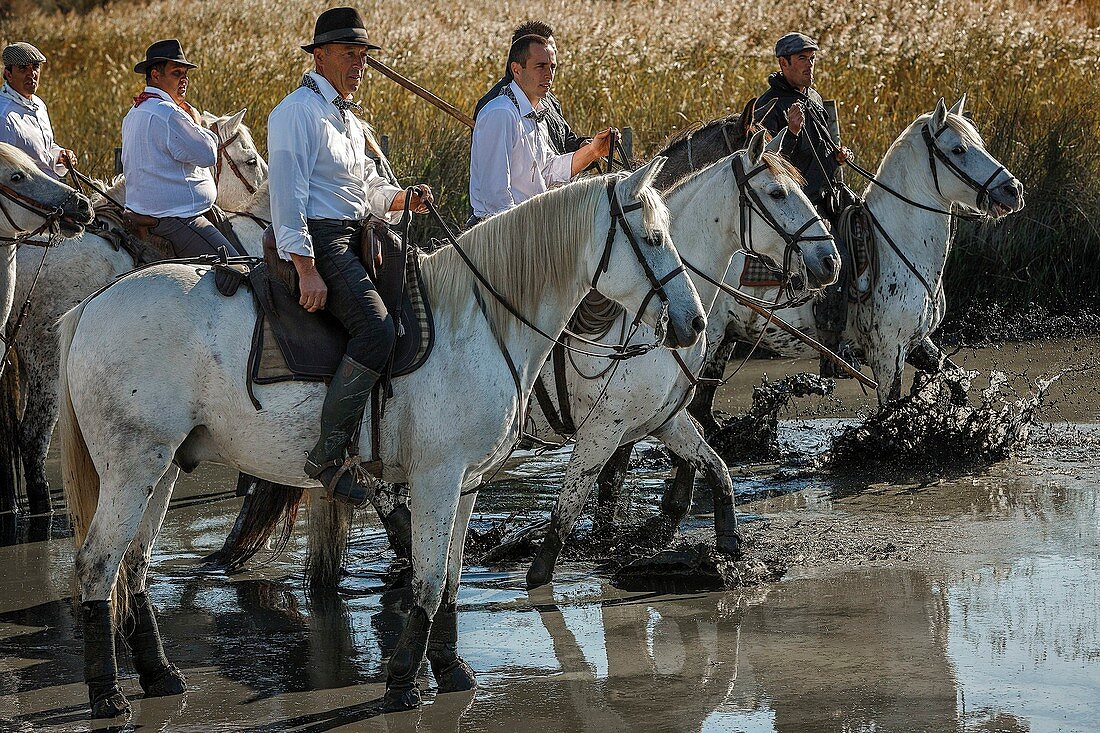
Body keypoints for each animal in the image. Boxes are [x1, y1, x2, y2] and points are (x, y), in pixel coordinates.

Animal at [55, 158, 704, 713]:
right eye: (651, 236)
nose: (694, 323)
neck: (480, 320)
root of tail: (90, 306)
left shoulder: (464, 482)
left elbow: (448, 578)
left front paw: (450, 672)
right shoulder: (437, 476)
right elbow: (427, 580)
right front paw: (402, 684)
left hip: (162, 466)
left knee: (133, 566)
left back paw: (160, 676)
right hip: (132, 467)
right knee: (97, 564)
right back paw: (107, 695)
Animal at [695, 95, 1020, 405]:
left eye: (979, 143)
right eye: (958, 149)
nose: (1012, 189)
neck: (898, 242)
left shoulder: (917, 343)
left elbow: (958, 381)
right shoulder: (888, 352)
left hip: (726, 338)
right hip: (712, 338)